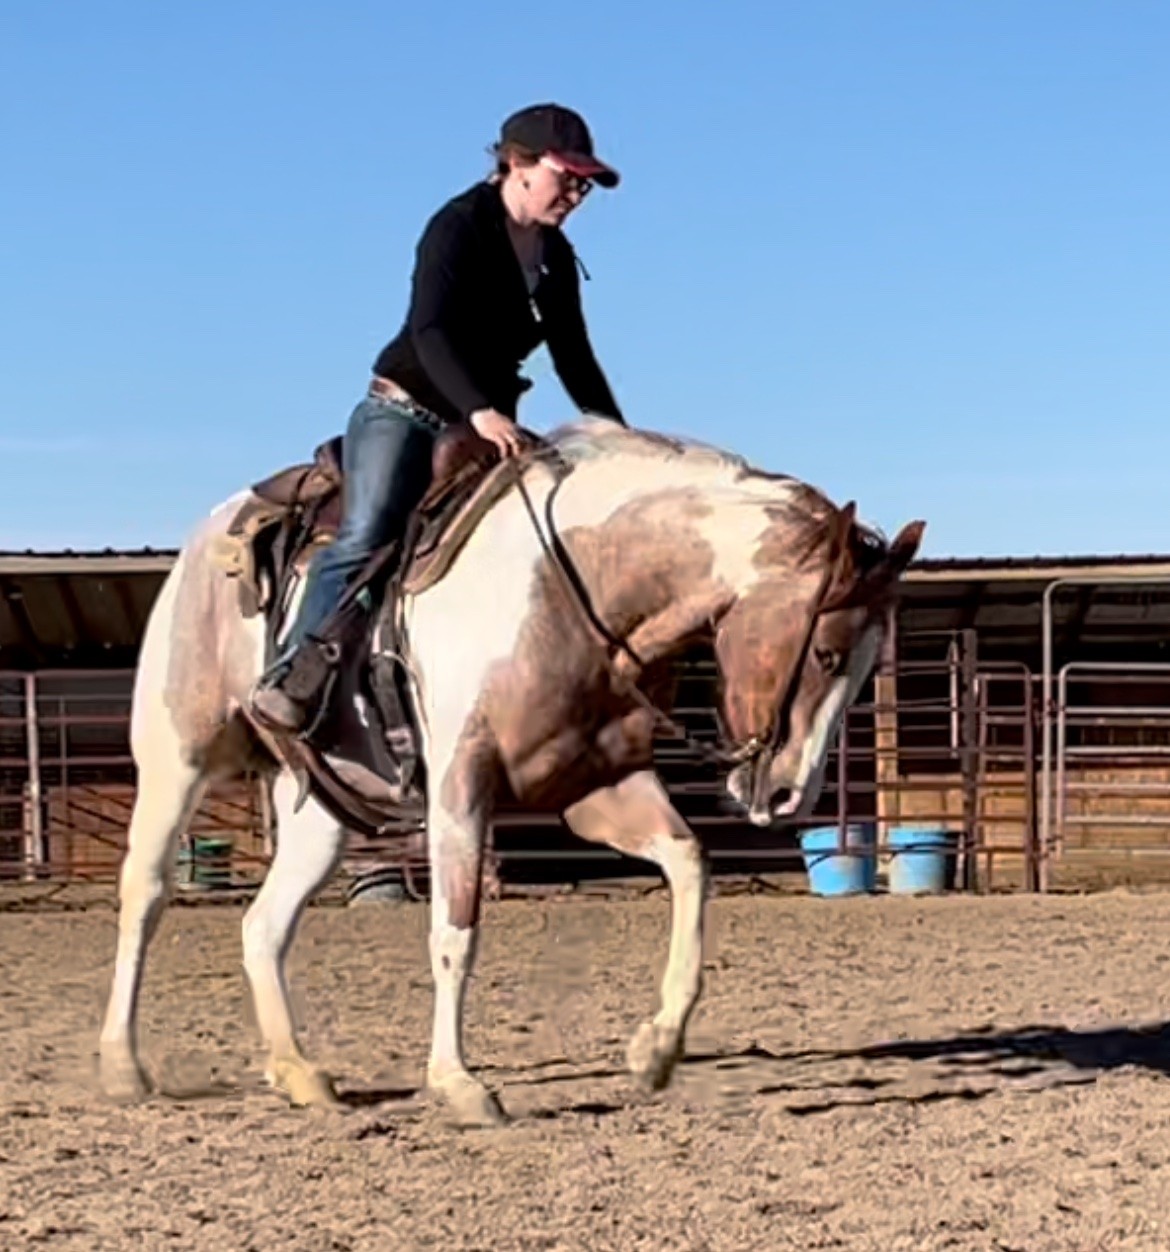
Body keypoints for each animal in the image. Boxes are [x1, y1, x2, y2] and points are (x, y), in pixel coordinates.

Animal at [98, 418, 925, 1126]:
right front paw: (459, 1084)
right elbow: (454, 933)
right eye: (826, 654)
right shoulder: (460, 786)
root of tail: (211, 533)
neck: (571, 588)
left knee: (263, 926)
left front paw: (656, 1049)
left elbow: (690, 864)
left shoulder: (600, 789)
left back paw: (300, 1074)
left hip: (324, 808)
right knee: (146, 892)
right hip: (178, 758)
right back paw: (124, 1065)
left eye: (866, 670)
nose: (789, 793)